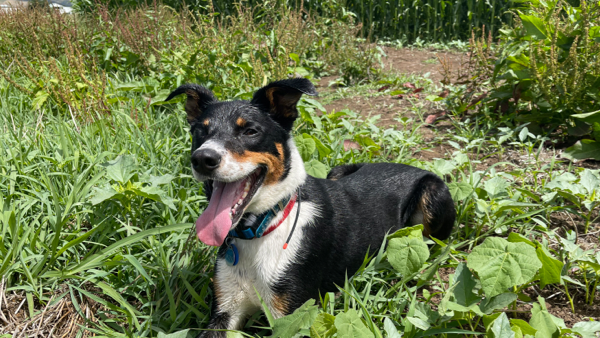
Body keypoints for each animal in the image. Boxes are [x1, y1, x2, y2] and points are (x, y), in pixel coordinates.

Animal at [164, 78, 454, 336]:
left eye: (250, 131)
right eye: (200, 131)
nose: (203, 158)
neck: (263, 226)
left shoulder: (293, 316)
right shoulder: (225, 311)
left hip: (433, 194)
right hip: (338, 171)